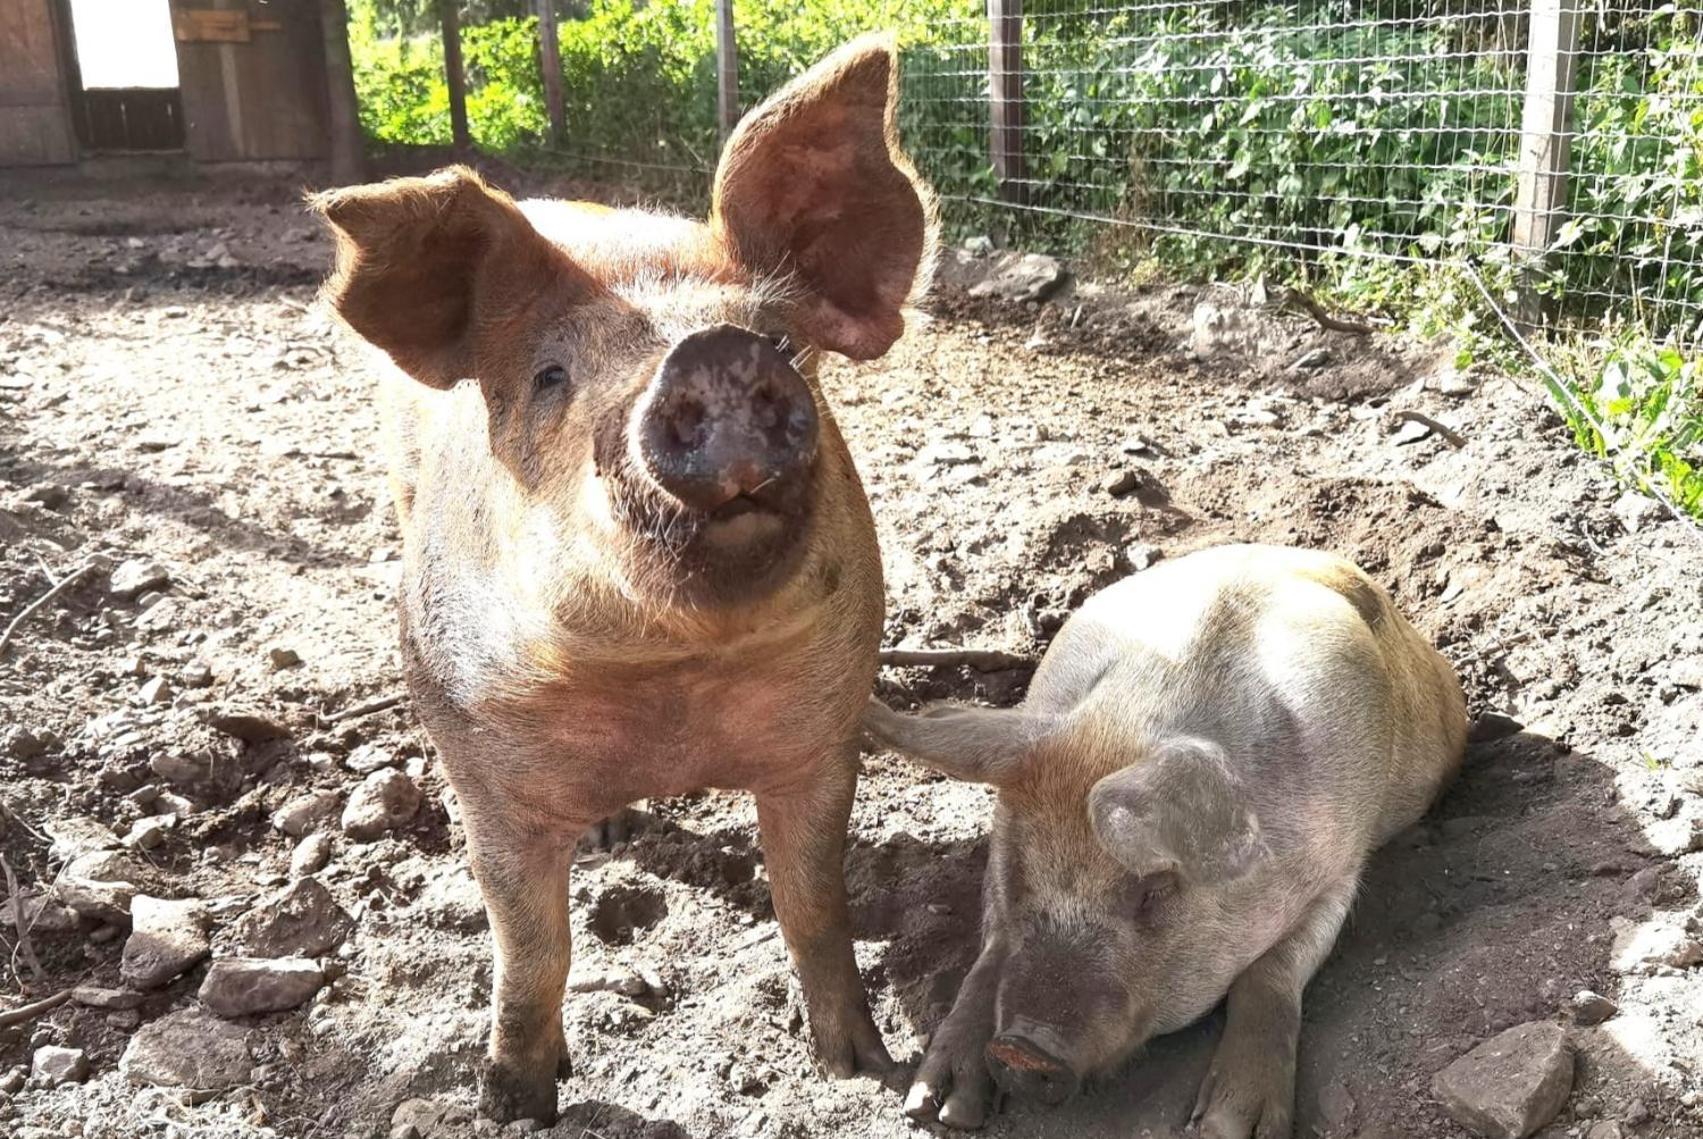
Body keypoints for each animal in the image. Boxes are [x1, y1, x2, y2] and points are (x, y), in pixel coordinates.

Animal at [313, 37, 940, 1130]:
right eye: (550, 375)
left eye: (782, 343)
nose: (716, 353)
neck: (665, 682)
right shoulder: (474, 754)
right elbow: (529, 945)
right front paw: (513, 1101)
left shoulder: (824, 730)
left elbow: (813, 902)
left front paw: (862, 1066)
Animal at [865, 544, 1464, 1137]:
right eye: (1019, 871)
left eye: (1151, 891)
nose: (1020, 1049)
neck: (1132, 716)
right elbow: (992, 947)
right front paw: (936, 1112)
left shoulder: (1341, 864)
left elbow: (1269, 972)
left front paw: (1226, 1127)